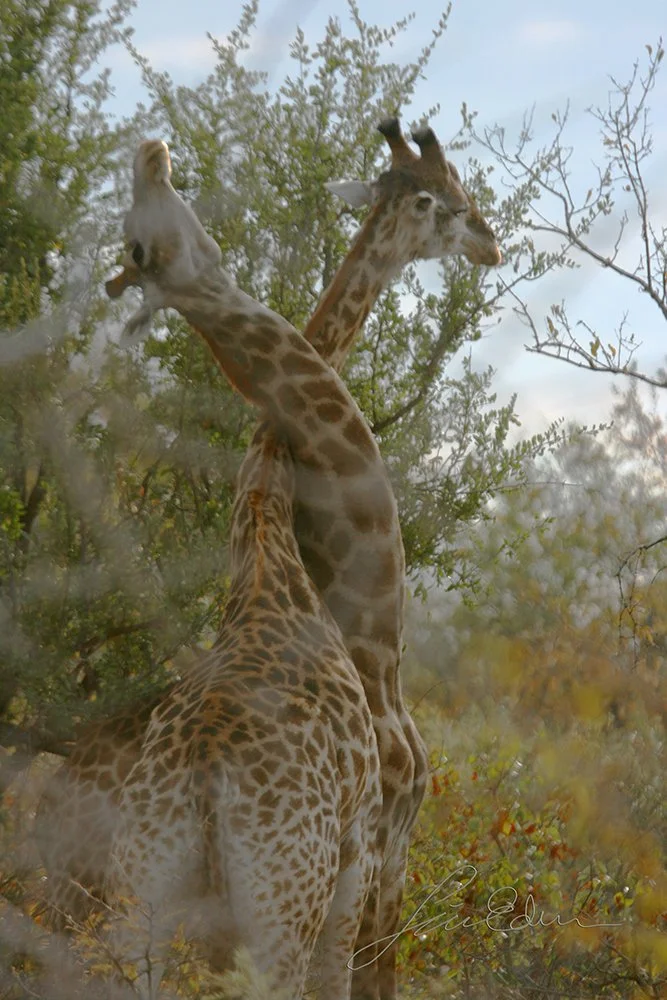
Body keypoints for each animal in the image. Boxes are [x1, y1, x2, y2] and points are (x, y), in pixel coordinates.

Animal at [36, 121, 501, 998]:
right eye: (450, 202)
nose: (491, 241)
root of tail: (205, 783)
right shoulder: (379, 851)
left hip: (132, 910)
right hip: (277, 905)